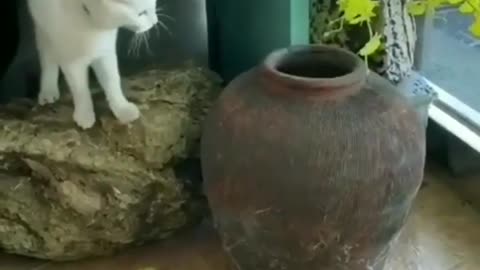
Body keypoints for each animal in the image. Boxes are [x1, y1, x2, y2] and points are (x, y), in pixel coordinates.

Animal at [27, 0, 159, 129]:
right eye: (141, 13)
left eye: (154, 4)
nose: (155, 21)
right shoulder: (72, 61)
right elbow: (80, 90)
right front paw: (84, 114)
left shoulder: (105, 52)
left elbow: (112, 81)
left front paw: (122, 108)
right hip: (44, 29)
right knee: (47, 57)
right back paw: (48, 90)